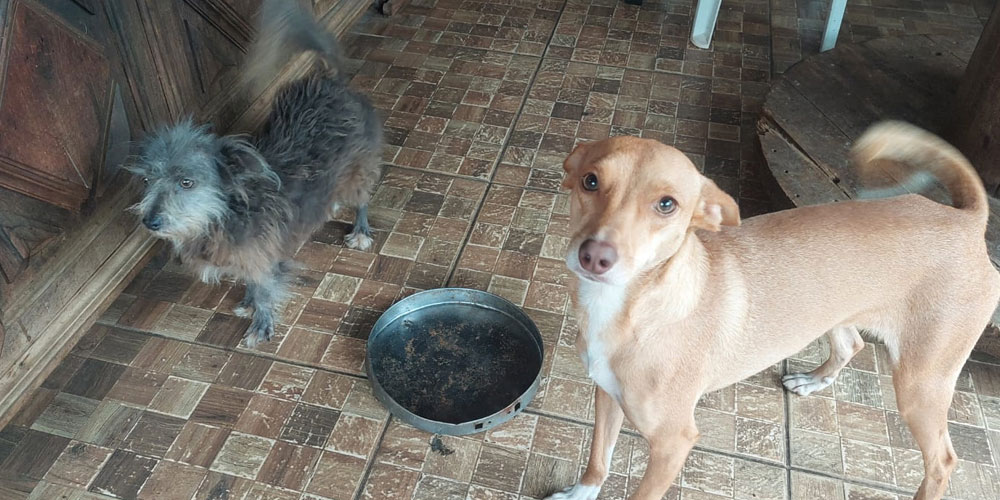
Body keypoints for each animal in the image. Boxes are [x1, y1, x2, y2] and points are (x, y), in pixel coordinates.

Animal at [128, 0, 382, 347]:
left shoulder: (263, 258)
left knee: (363, 199)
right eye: (147, 180)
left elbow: (265, 290)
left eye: (186, 182)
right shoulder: (250, 256)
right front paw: (249, 301)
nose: (150, 222)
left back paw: (360, 232)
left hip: (358, 171)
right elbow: (251, 282)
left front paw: (261, 324)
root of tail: (329, 82)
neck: (225, 216)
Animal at [546, 122, 1000, 500]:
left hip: (921, 385)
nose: (595, 257)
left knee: (943, 461)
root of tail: (966, 221)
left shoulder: (672, 442)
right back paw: (814, 381)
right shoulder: (606, 394)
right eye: (590, 181)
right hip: (835, 317)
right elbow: (597, 461)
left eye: (666, 205)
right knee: (851, 345)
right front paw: (579, 495)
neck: (633, 309)